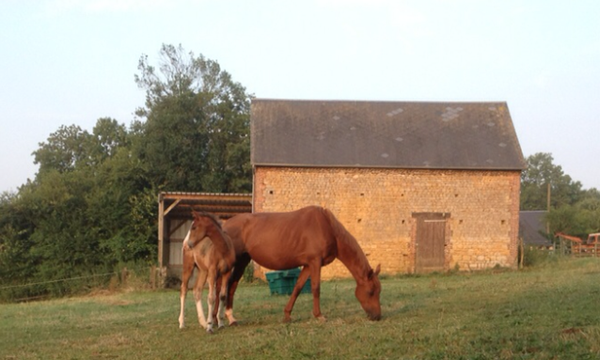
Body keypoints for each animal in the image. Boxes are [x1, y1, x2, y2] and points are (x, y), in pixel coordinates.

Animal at [218, 207, 380, 322]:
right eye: (371, 291)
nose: (377, 316)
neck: (327, 227)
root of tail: (225, 225)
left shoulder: (308, 265)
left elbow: (298, 287)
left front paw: (287, 315)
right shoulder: (315, 262)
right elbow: (316, 288)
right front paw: (319, 315)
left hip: (243, 261)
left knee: (232, 285)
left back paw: (230, 317)